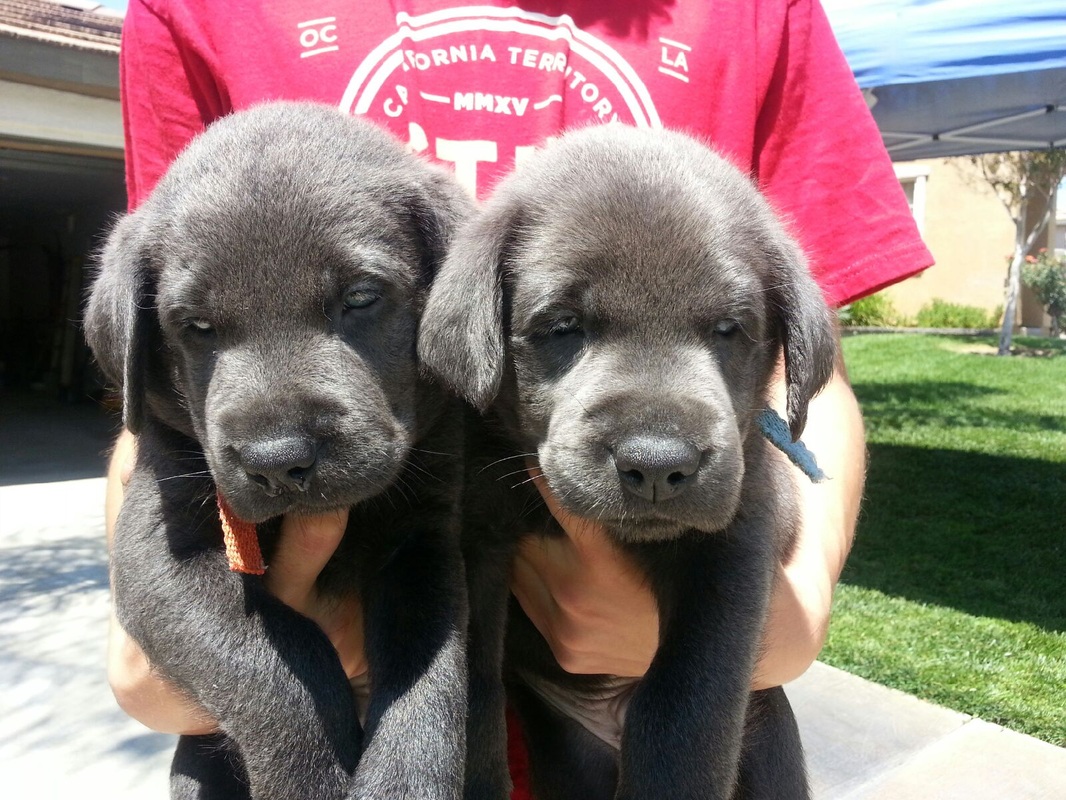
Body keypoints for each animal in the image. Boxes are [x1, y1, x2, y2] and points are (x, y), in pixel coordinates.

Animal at [86, 101, 475, 800]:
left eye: (360, 297)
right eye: (197, 327)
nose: (277, 460)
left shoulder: (423, 536)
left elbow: (430, 684)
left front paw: (403, 781)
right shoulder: (158, 551)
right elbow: (281, 670)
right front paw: (311, 777)